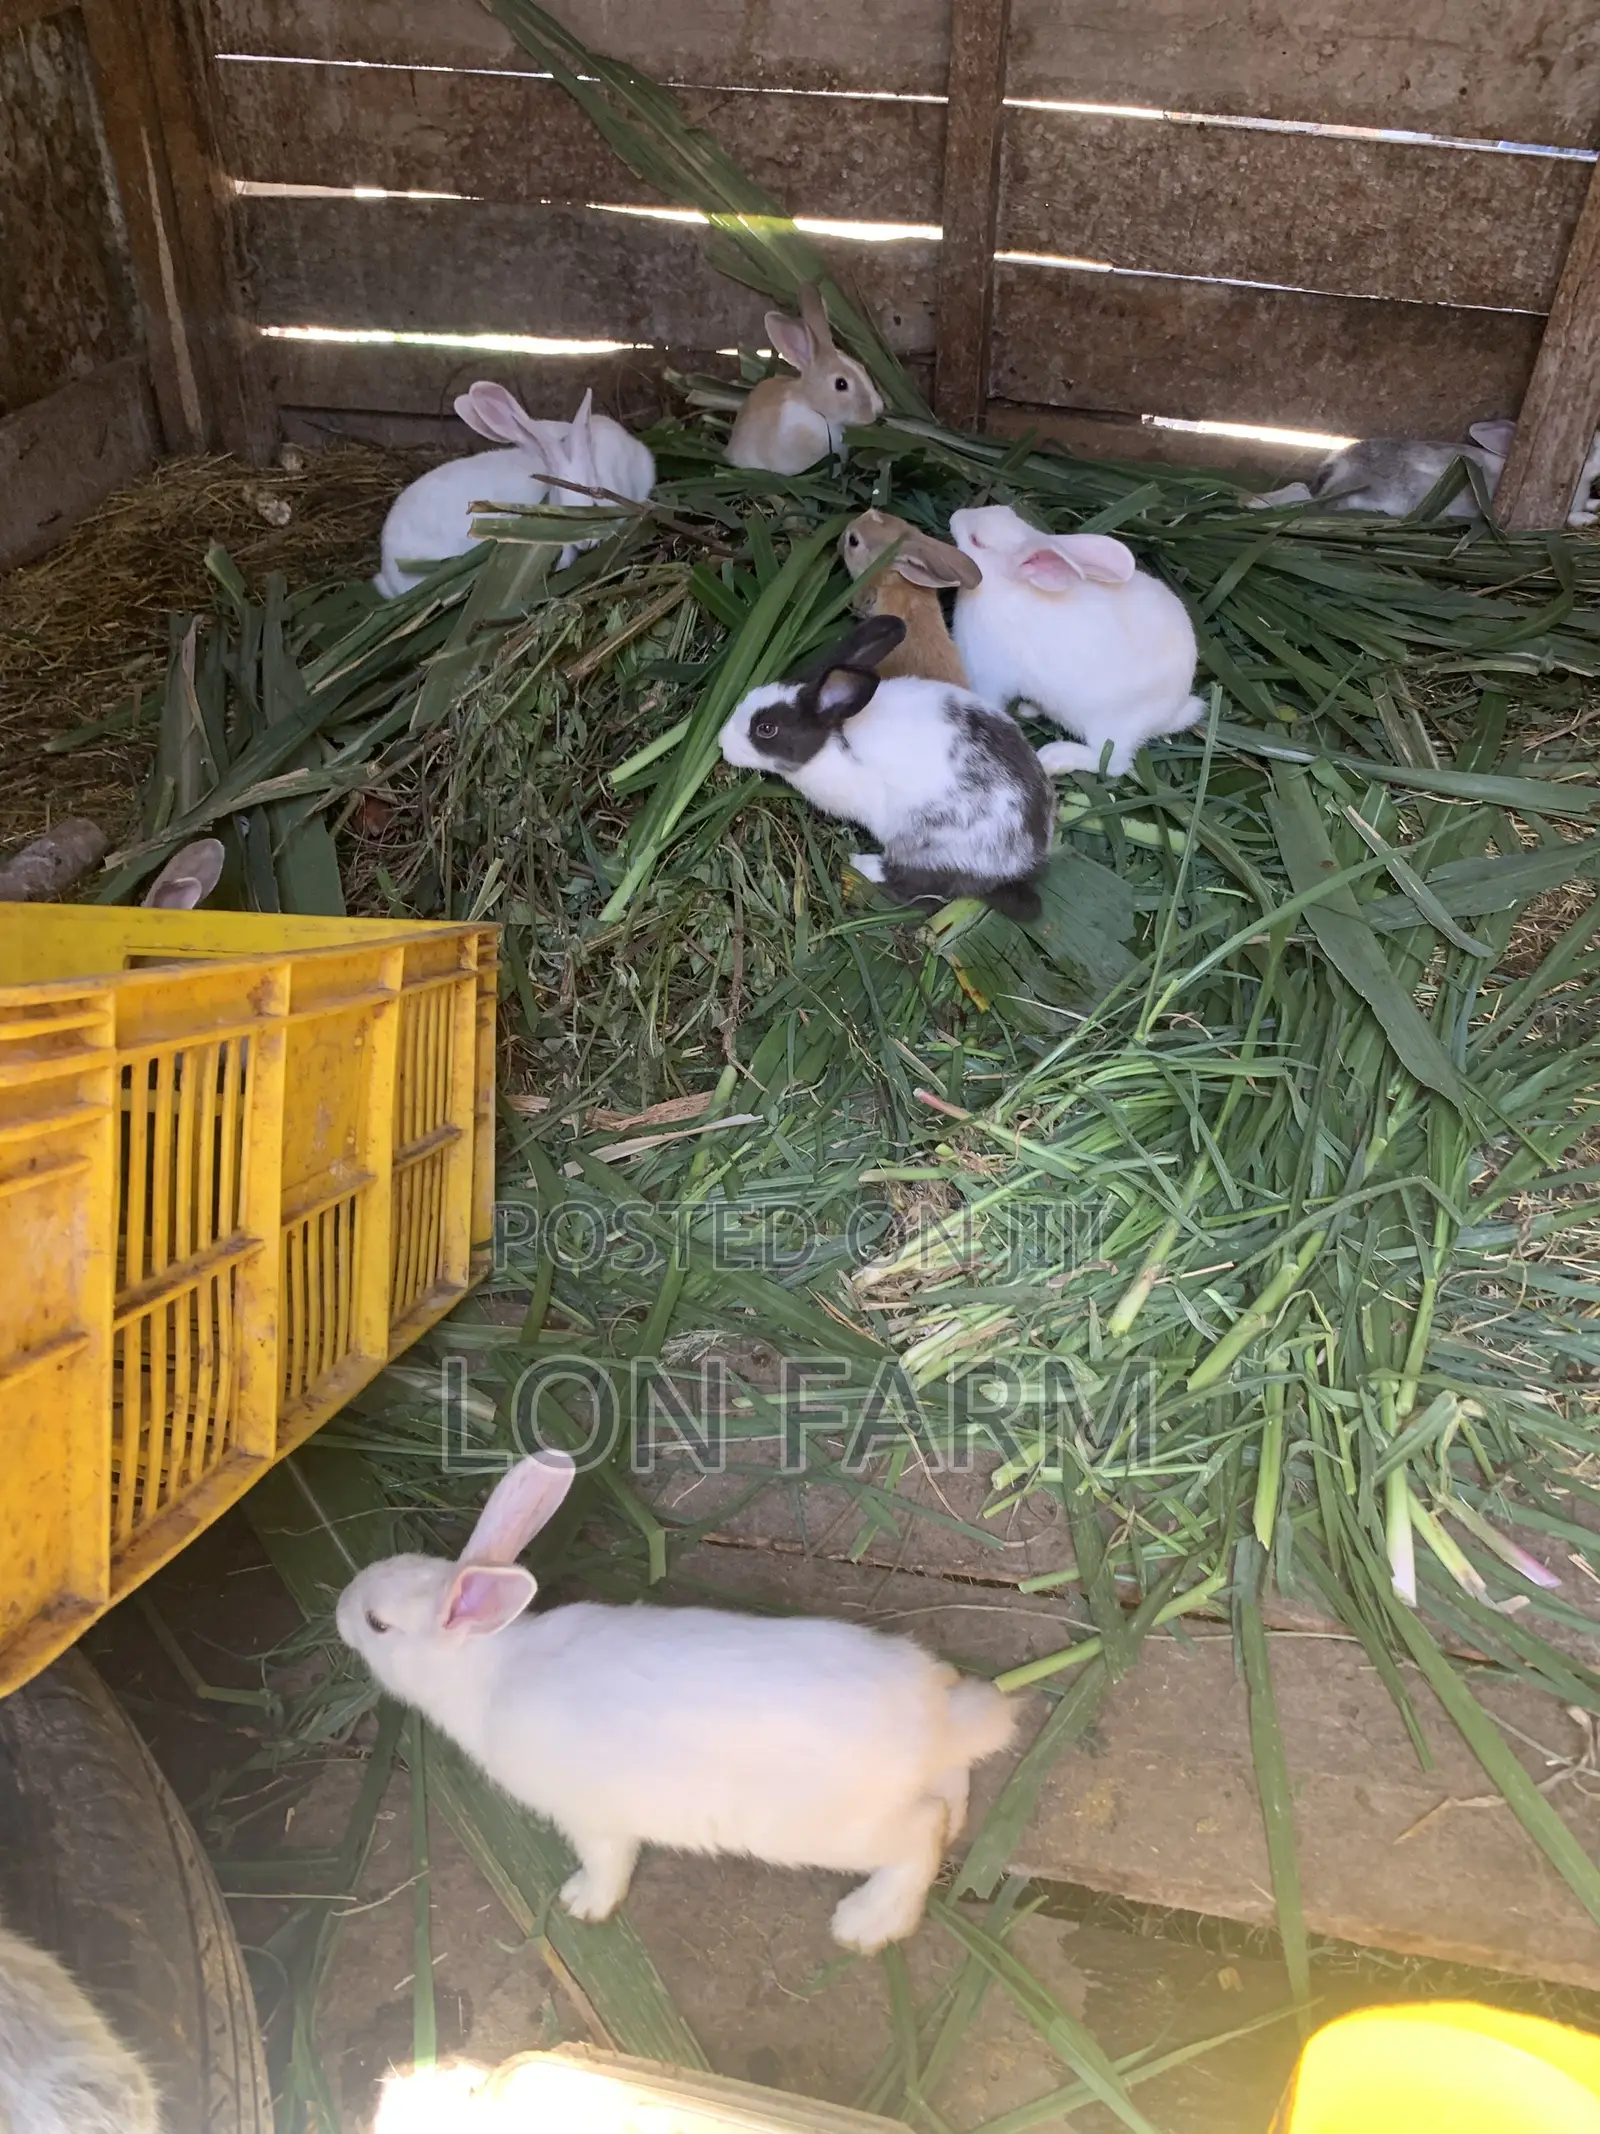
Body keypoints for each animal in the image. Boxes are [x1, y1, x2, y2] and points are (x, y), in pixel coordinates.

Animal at [336, 1453, 1016, 1954]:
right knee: (949, 1801)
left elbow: (608, 1865)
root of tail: (935, 1726)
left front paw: (582, 1903)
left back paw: (865, 1924)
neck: (487, 1670)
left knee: (920, 1835)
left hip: (843, 1831)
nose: (340, 1605)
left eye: (377, 1624)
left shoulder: (593, 1818)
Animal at [720, 613, 1052, 922]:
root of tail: (1023, 862)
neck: (835, 742)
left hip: (931, 848)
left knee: (919, 886)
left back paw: (859, 862)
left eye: (766, 729)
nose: (722, 744)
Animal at [949, 504, 1204, 779]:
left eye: (976, 541)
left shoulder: (989, 678)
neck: (1000, 588)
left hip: (1109, 726)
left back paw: (1053, 758)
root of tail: (1173, 711)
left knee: (1112, 763)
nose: (955, 516)